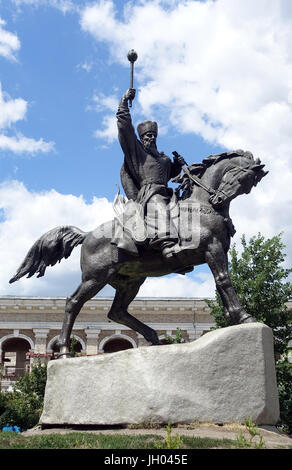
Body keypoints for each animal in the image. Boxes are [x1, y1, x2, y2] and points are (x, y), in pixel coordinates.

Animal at [9, 150, 266, 356]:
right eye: (242, 177)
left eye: (250, 185)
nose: (218, 198)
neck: (201, 208)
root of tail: (88, 234)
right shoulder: (213, 249)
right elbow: (224, 281)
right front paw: (244, 317)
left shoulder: (215, 252)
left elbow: (220, 286)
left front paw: (233, 318)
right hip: (95, 277)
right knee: (73, 303)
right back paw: (63, 351)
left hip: (131, 281)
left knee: (117, 312)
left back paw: (153, 337)